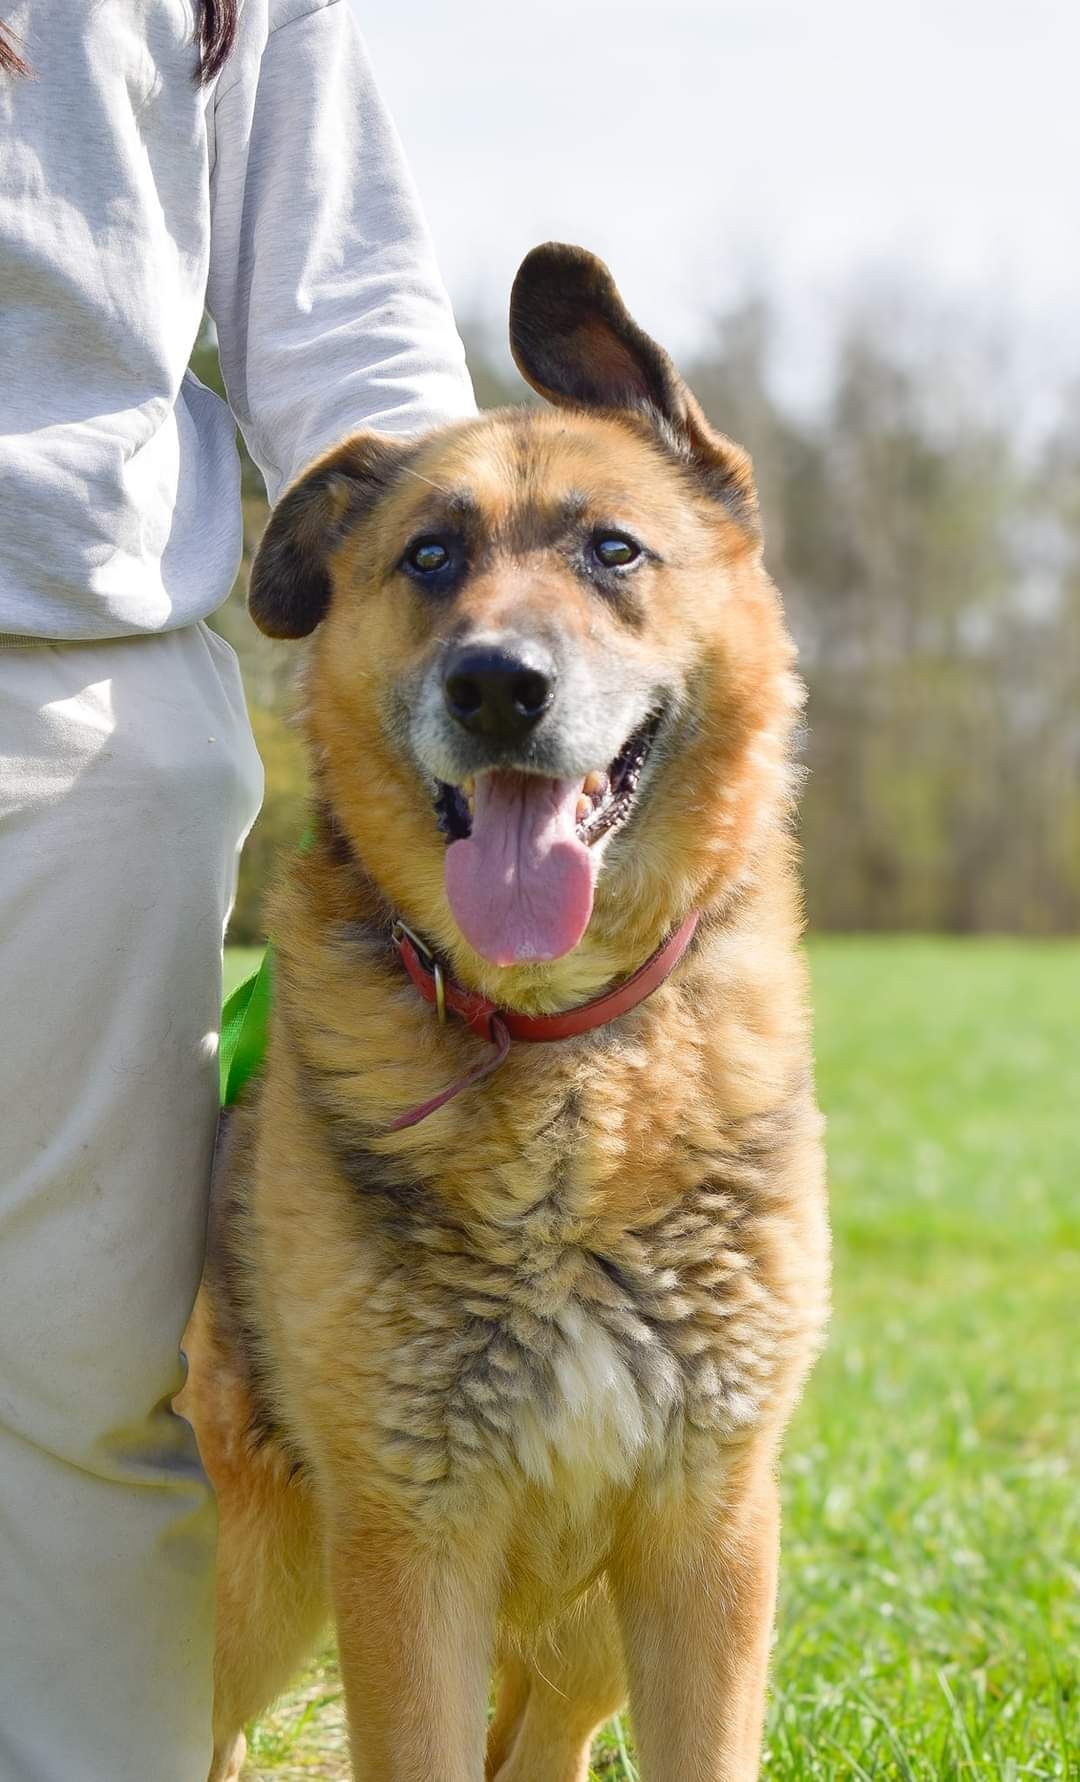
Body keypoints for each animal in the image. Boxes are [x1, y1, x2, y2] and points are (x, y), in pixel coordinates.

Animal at [181, 240, 834, 1782]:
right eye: (430, 556)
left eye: (614, 551)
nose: (496, 686)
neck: (567, 1059)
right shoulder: (409, 1554)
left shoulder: (705, 1547)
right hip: (250, 1585)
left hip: (583, 1640)